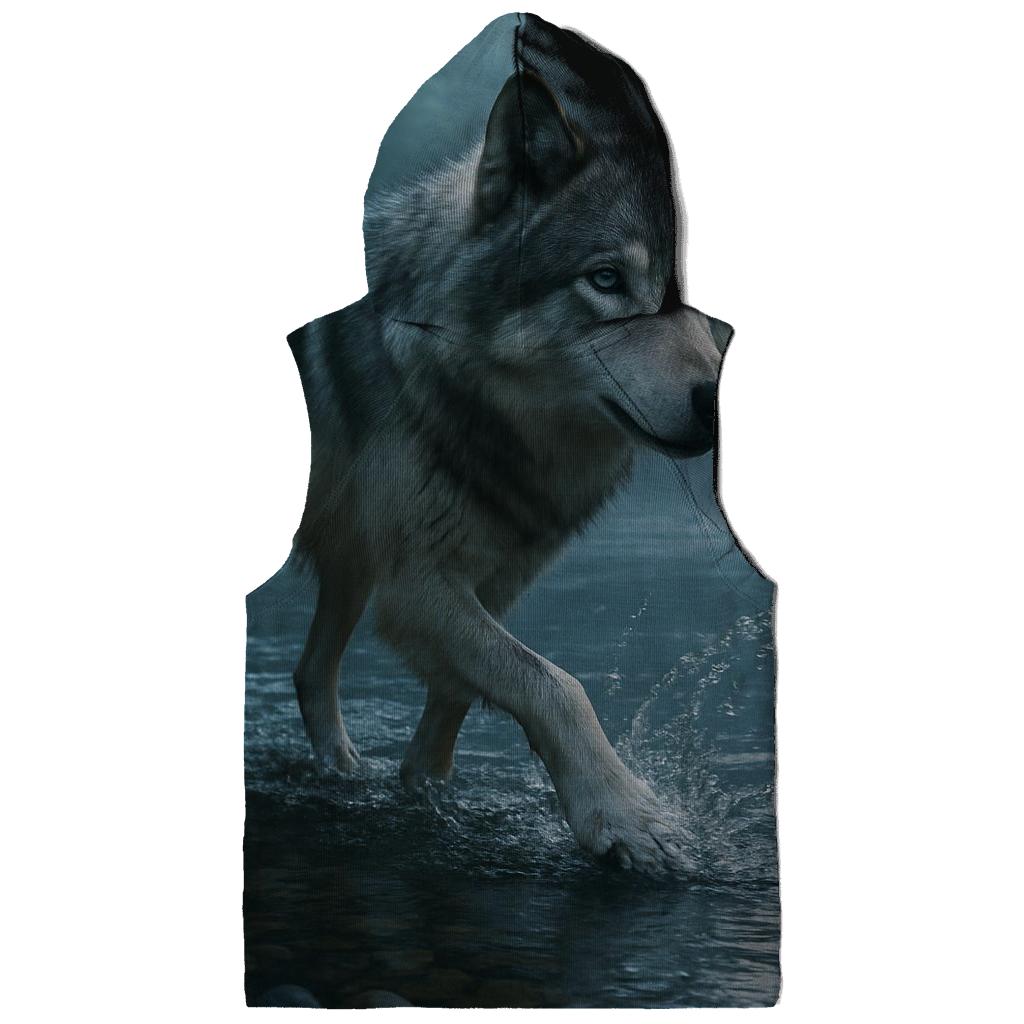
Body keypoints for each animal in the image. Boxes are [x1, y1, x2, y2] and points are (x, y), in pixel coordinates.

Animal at [287, 27, 731, 873]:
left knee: (308, 669)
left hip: (353, 561)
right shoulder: (418, 583)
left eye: (685, 294)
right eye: (606, 281)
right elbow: (555, 684)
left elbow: (472, 686)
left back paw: (344, 772)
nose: (717, 403)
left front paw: (425, 792)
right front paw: (626, 817)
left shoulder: (490, 576)